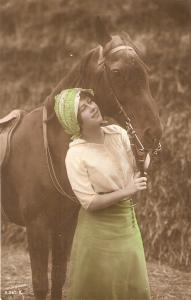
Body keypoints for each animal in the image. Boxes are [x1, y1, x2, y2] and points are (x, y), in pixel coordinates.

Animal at [1, 19, 162, 300]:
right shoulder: (37, 227)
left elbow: (58, 278)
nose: (154, 133)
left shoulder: (64, 225)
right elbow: (41, 284)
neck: (50, 152)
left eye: (145, 70)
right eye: (117, 72)